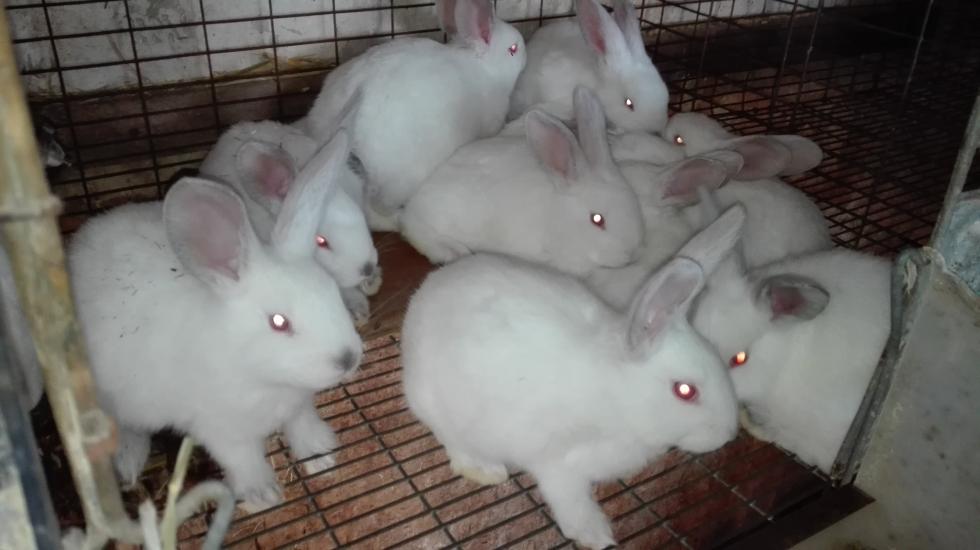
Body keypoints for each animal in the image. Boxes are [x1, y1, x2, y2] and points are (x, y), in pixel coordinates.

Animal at [67, 132, 363, 510]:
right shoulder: (221, 429)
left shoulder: (299, 405)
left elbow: (303, 424)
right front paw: (263, 494)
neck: (264, 375)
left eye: (332, 293)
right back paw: (129, 462)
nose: (347, 359)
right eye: (278, 322)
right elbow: (243, 459)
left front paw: (322, 453)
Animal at [400, 86, 644, 278]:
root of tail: (413, 203)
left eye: (635, 203)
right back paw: (451, 251)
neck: (557, 218)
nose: (631, 253)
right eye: (597, 220)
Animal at [400, 204, 747, 549]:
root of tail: (422, 296)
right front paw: (596, 536)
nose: (728, 435)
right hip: (439, 405)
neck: (617, 395)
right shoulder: (558, 463)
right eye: (685, 390)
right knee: (453, 440)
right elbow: (569, 499)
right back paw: (486, 470)